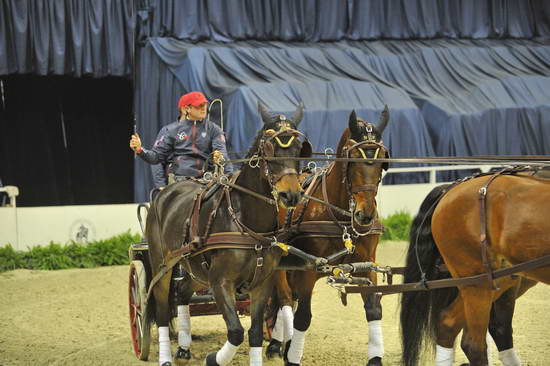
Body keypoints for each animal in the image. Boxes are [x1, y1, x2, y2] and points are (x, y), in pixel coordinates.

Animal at [144, 103, 312, 366]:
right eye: (268, 147)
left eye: (299, 148)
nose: (291, 195)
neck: (248, 223)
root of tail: (165, 192)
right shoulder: (220, 282)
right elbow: (235, 331)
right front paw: (214, 358)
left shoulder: (262, 283)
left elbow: (254, 333)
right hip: (162, 265)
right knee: (162, 309)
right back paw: (166, 357)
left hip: (195, 269)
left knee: (182, 294)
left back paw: (183, 348)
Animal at [268, 106, 390, 366]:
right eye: (352, 160)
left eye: (382, 163)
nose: (365, 214)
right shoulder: (309, 268)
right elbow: (303, 317)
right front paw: (292, 356)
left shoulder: (367, 264)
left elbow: (374, 309)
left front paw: (375, 358)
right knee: (285, 298)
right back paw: (279, 344)